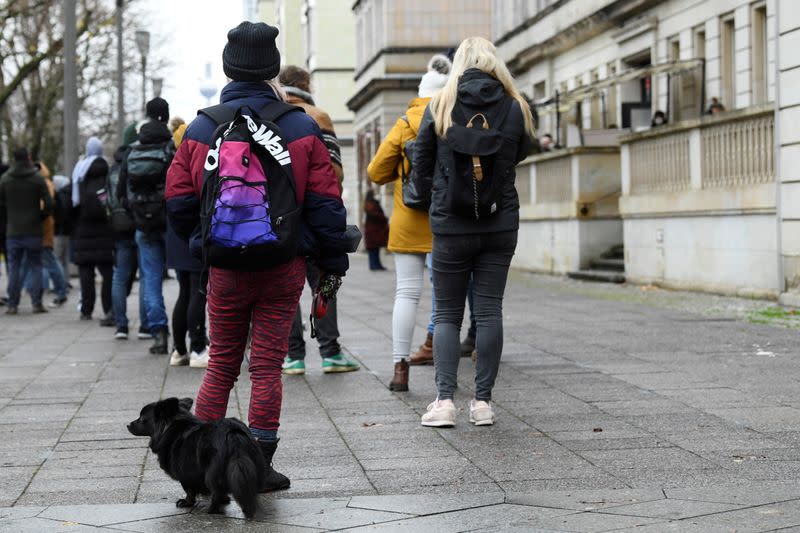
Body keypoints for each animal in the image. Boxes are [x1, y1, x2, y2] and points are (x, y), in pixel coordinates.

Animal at [128, 396, 266, 516]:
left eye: (141, 419)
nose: (128, 425)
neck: (169, 427)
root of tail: (232, 434)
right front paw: (226, 501)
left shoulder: (185, 473)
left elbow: (189, 490)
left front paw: (186, 502)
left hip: (211, 473)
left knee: (217, 491)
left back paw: (212, 510)